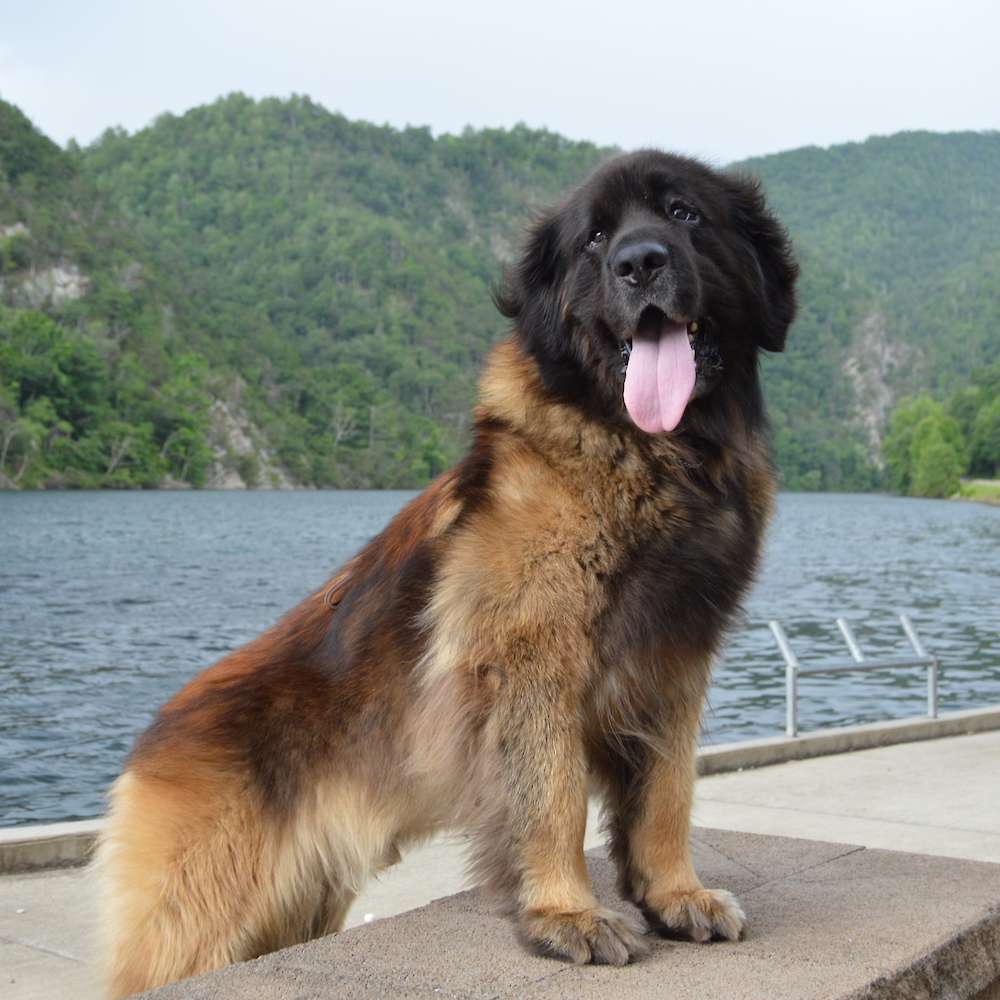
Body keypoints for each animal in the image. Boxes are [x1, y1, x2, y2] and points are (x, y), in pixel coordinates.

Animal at [97, 149, 797, 996]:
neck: (646, 451)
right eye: (595, 237)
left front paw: (675, 894)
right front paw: (566, 913)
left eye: (685, 214)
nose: (640, 262)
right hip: (201, 923)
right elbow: (554, 795)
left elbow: (668, 793)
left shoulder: (675, 658)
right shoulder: (531, 657)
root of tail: (152, 739)